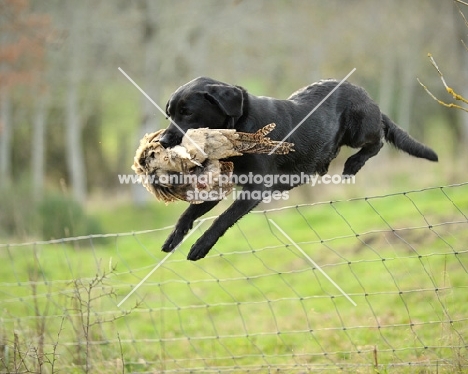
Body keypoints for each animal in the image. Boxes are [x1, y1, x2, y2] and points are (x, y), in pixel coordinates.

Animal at [158, 76, 438, 260]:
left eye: (187, 112)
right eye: (170, 114)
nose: (163, 141)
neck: (237, 128)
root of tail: (370, 99)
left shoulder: (256, 188)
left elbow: (222, 218)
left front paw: (200, 247)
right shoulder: (220, 184)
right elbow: (188, 214)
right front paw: (173, 239)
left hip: (358, 129)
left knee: (378, 138)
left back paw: (353, 164)